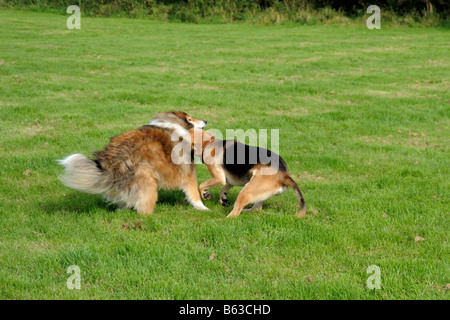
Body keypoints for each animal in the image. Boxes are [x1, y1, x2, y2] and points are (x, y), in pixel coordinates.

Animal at [58, 110, 211, 215]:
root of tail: (112, 162)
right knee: (144, 209)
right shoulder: (188, 173)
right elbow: (194, 193)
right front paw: (204, 208)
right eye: (190, 119)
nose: (205, 120)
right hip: (147, 182)